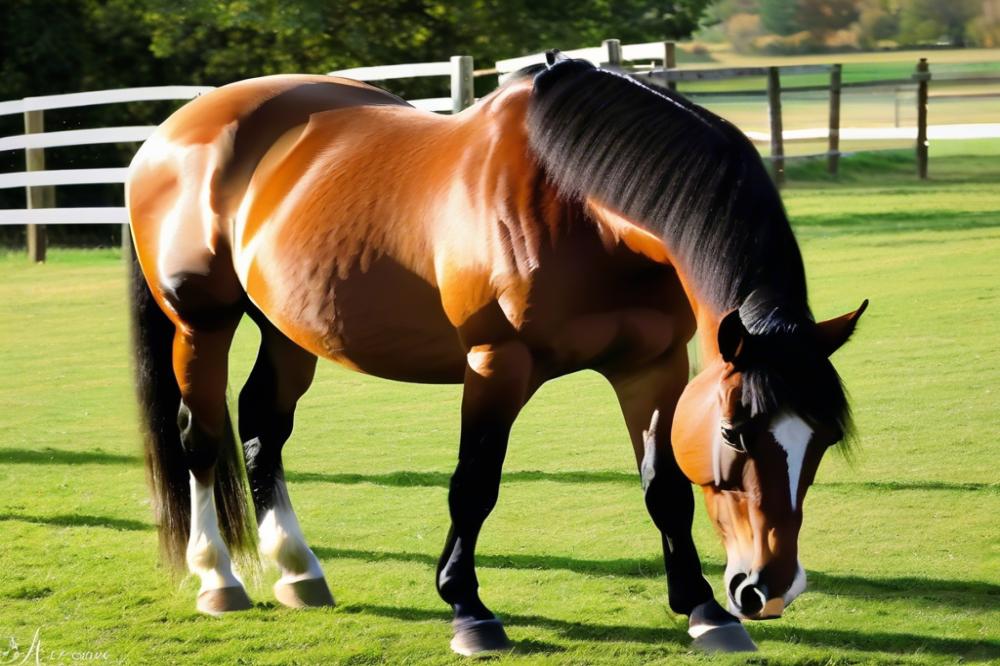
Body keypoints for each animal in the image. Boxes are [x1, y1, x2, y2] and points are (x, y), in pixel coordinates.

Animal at [129, 53, 868, 652]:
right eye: (734, 433)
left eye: (825, 438)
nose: (768, 588)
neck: (581, 200)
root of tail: (172, 132)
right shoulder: (495, 362)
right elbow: (474, 485)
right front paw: (468, 609)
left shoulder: (654, 366)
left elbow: (664, 489)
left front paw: (704, 612)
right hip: (202, 324)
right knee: (201, 436)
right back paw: (218, 579)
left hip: (286, 329)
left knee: (263, 424)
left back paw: (297, 570)